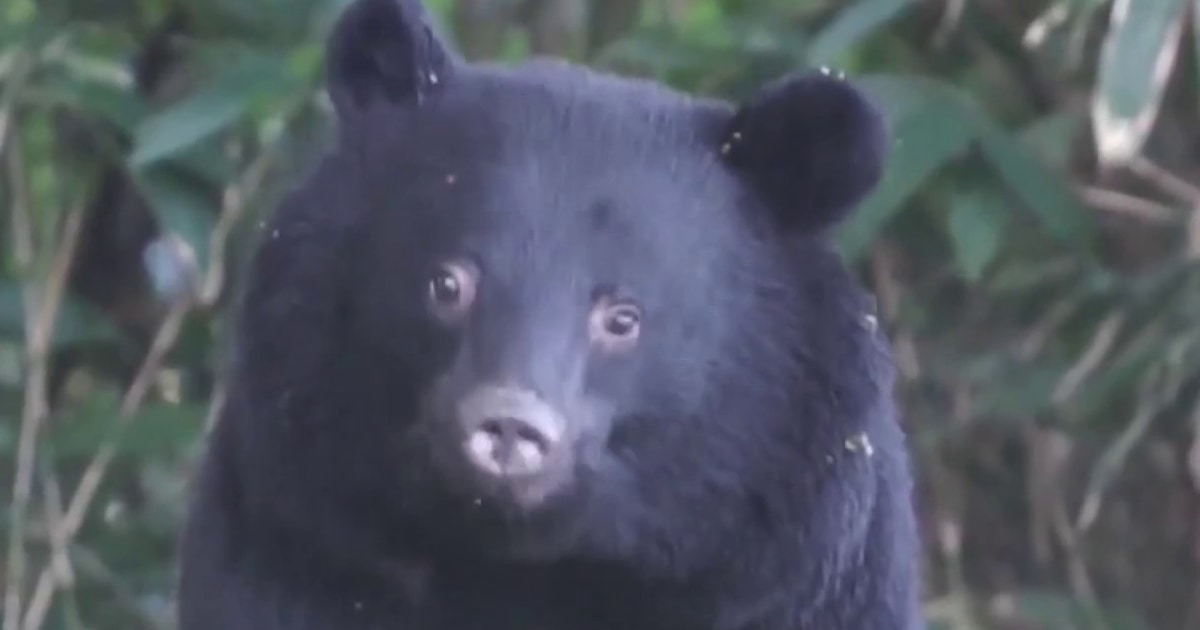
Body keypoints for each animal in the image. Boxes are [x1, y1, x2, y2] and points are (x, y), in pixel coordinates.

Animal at [175, 0, 925, 628]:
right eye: (448, 284)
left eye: (623, 318)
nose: (509, 427)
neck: (522, 564)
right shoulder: (302, 535)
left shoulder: (792, 575)